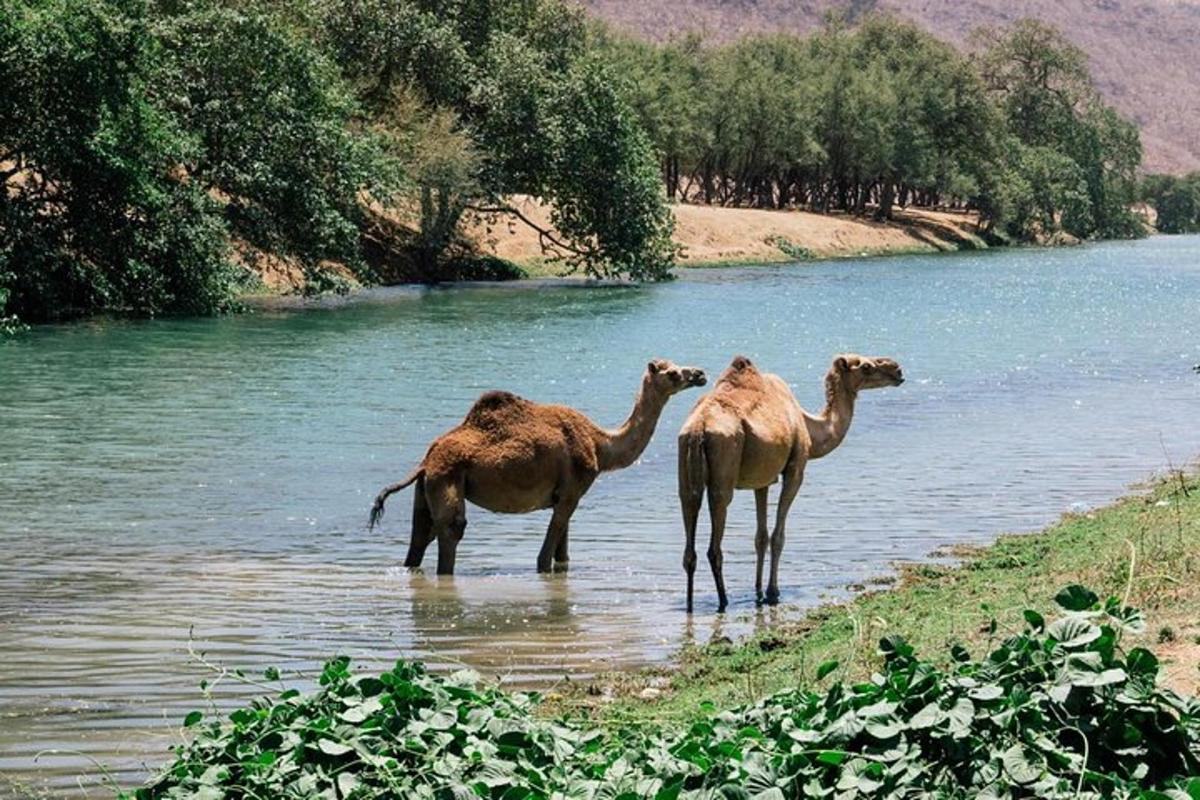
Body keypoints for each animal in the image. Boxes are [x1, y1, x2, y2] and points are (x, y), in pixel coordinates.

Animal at [364, 357, 700, 575]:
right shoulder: (572, 492)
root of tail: (425, 460)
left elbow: (563, 554)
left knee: (420, 536)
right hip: (447, 479)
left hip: (425, 488)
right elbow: (544, 559)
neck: (600, 445)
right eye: (672, 373)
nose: (699, 373)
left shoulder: (565, 496)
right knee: (451, 530)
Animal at [681, 352, 902, 609]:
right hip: (723, 469)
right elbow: (778, 537)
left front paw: (758, 590)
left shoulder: (763, 479)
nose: (897, 370)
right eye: (866, 366)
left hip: (685, 468)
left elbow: (761, 537)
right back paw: (723, 600)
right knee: (714, 542)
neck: (808, 425)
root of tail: (699, 428)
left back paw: (690, 605)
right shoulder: (796, 469)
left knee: (689, 531)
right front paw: (772, 592)